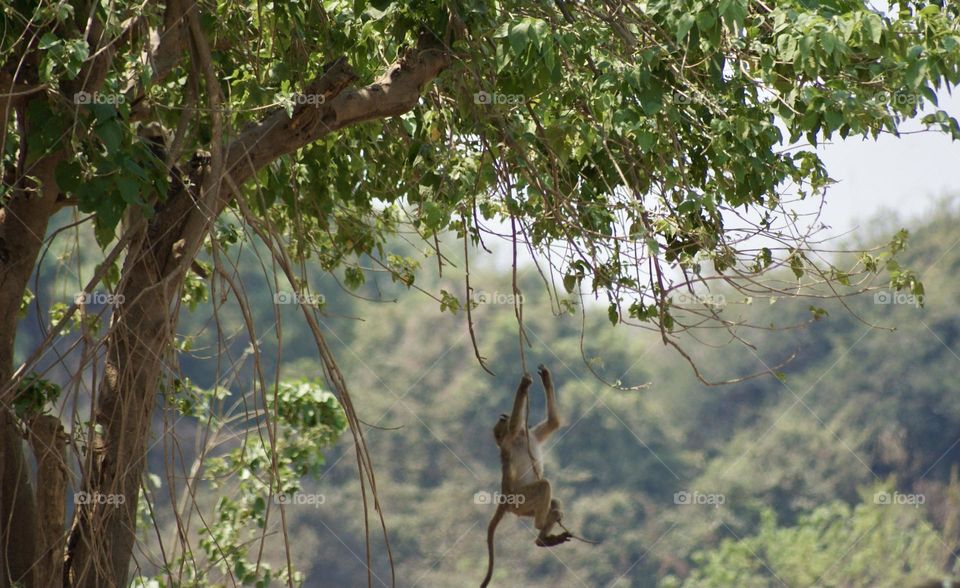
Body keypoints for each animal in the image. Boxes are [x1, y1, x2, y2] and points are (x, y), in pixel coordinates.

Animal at [481, 364, 571, 588]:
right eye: (501, 420)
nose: (503, 415)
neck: (521, 437)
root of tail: (505, 498)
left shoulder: (532, 434)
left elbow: (554, 422)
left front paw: (545, 378)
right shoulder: (511, 438)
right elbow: (515, 426)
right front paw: (524, 384)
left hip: (523, 508)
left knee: (553, 500)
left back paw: (543, 538)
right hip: (518, 500)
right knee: (544, 485)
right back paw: (541, 525)